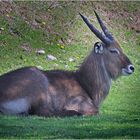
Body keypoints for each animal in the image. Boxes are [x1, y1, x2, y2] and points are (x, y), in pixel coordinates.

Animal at [0, 11, 135, 117]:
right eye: (113, 50)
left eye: (121, 48)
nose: (131, 67)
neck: (83, 82)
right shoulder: (78, 103)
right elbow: (96, 111)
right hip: (38, 80)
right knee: (43, 112)